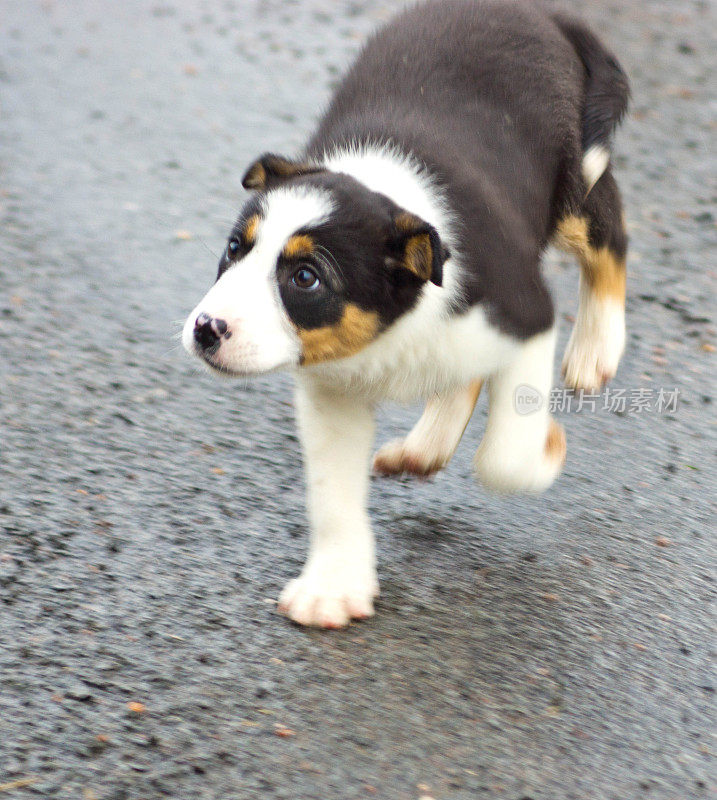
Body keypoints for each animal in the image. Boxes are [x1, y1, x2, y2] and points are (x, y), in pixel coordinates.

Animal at [183, 0, 628, 628]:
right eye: (234, 248)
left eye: (305, 278)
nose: (206, 329)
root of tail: (546, 14)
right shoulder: (332, 391)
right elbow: (332, 497)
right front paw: (333, 587)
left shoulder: (524, 312)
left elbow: (505, 456)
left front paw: (549, 449)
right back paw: (423, 448)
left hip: (573, 187)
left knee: (611, 236)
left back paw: (595, 349)